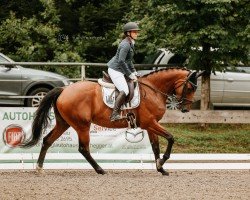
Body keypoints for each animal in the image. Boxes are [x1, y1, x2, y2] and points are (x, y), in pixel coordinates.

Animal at [19, 67, 203, 175]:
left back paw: (39, 168)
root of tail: (64, 89)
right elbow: (171, 138)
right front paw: (162, 162)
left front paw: (160, 168)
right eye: (190, 87)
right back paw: (100, 170)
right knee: (83, 148)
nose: (185, 109)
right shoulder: (150, 123)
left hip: (64, 123)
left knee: (47, 140)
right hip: (82, 125)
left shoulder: (150, 125)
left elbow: (155, 146)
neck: (154, 90)